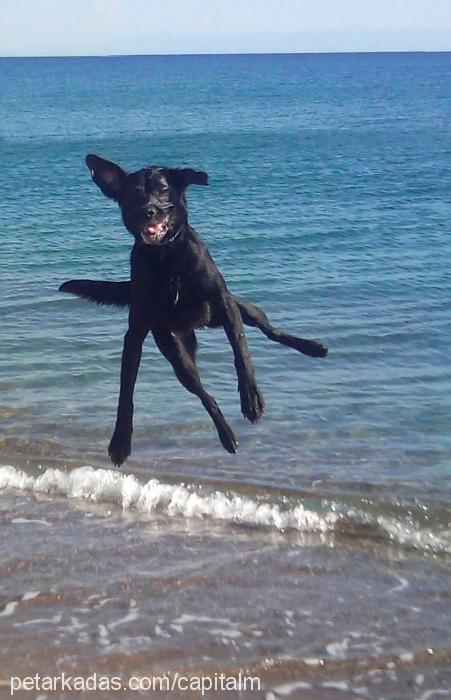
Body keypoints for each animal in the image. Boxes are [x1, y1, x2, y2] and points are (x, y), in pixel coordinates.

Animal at [60, 156, 328, 468]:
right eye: (132, 195)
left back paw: (311, 347)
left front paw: (250, 397)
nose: (147, 211)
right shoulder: (136, 331)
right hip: (177, 353)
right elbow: (126, 389)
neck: (168, 261)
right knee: (201, 391)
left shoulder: (225, 305)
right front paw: (120, 441)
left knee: (270, 331)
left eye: (163, 189)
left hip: (243, 309)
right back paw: (226, 435)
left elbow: (242, 353)